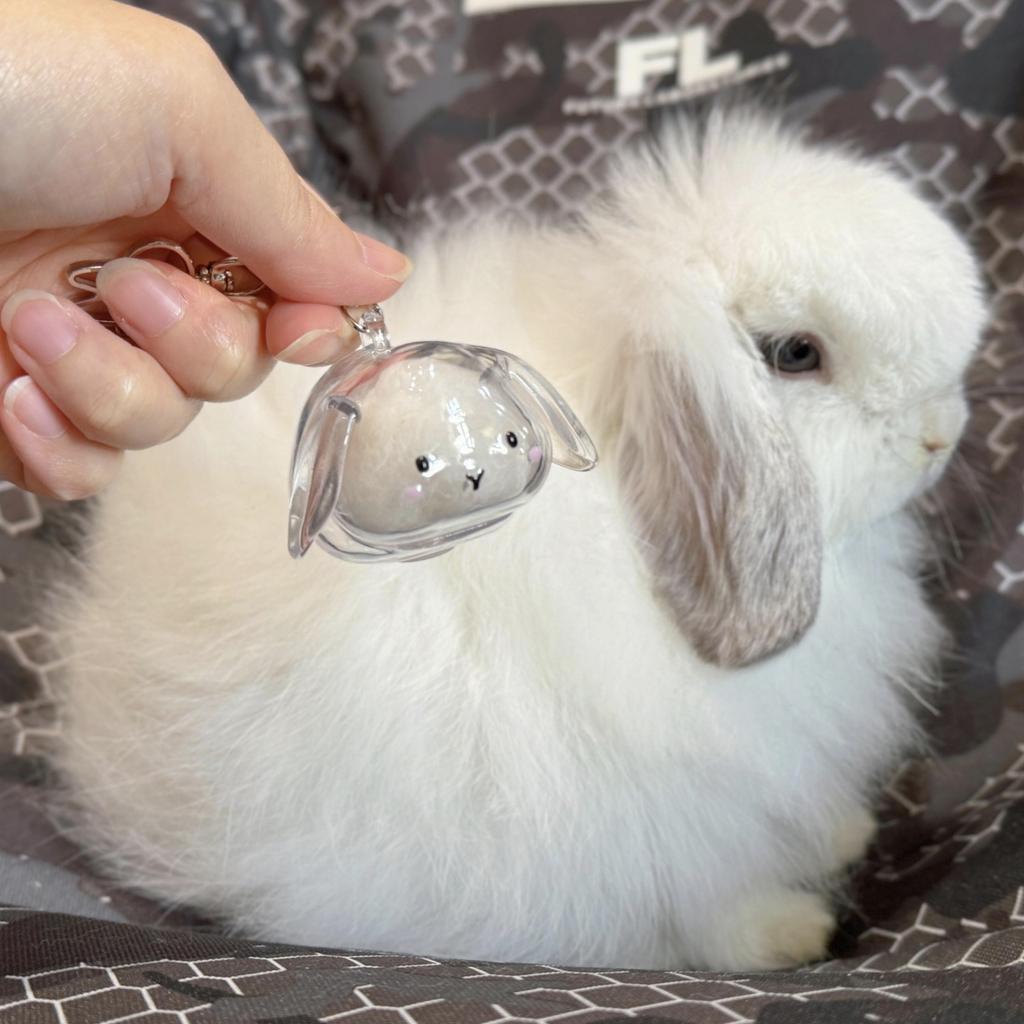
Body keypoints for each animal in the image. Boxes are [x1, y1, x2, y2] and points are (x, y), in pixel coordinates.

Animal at [50, 108, 986, 971]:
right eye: (796, 354)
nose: (942, 436)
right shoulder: (662, 824)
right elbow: (706, 903)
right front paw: (791, 933)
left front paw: (845, 832)